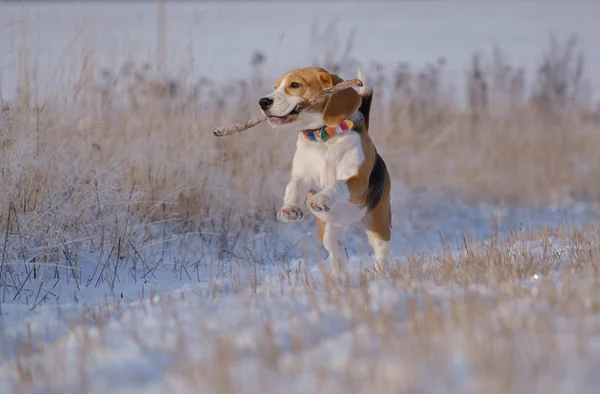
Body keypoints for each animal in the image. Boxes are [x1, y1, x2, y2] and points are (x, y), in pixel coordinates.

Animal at [258, 66, 392, 274]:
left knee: (380, 251)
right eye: (275, 87)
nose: (263, 102)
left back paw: (378, 272)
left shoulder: (358, 182)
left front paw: (321, 198)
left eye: (295, 85)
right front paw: (289, 208)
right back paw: (339, 273)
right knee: (335, 250)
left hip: (378, 222)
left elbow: (338, 184)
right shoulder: (301, 176)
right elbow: (293, 188)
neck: (324, 138)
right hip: (327, 229)